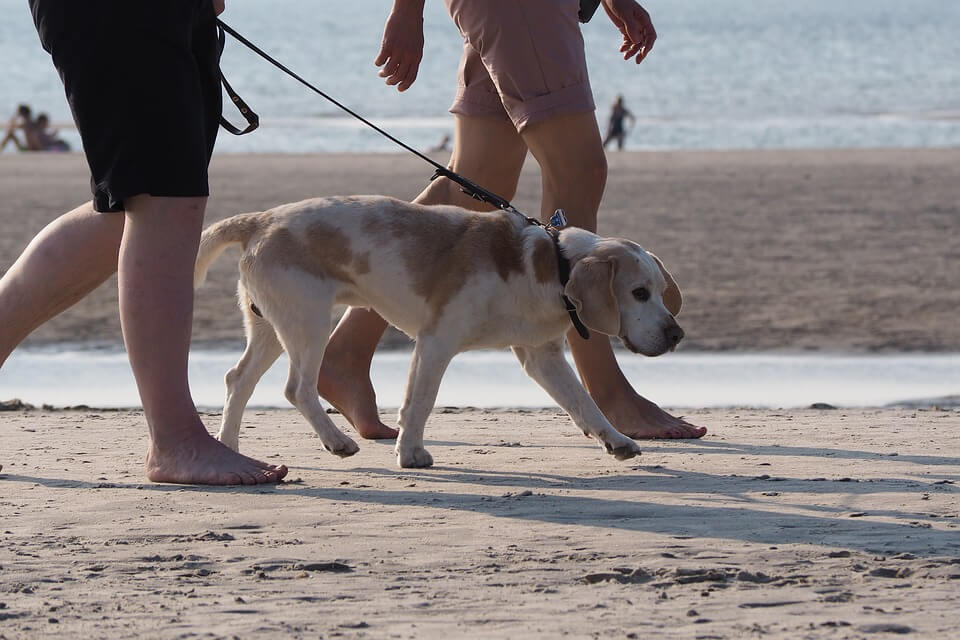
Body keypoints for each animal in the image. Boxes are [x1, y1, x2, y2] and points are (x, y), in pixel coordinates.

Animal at [195, 192, 688, 468]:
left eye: (661, 292)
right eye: (639, 293)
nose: (676, 335)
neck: (552, 265)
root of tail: (261, 219)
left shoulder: (542, 357)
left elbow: (584, 404)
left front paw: (616, 440)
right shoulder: (436, 343)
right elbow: (421, 402)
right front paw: (410, 455)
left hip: (270, 329)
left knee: (237, 380)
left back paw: (231, 447)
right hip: (308, 324)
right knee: (297, 388)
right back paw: (337, 441)